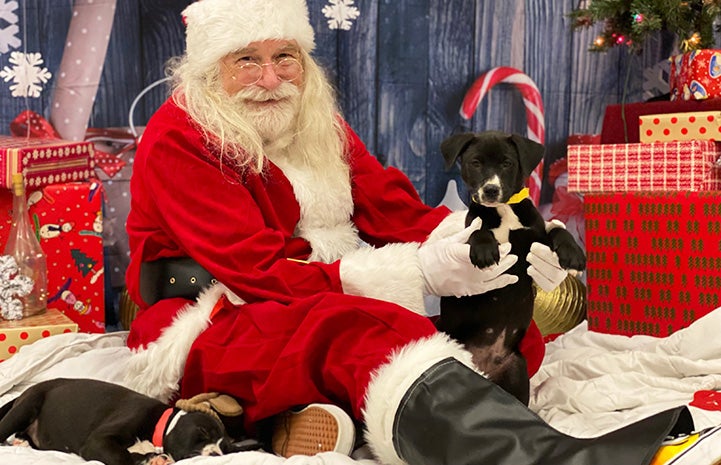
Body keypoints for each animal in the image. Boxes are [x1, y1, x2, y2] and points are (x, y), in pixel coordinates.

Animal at [434, 129, 584, 404]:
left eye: (507, 163)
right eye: (475, 162)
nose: (491, 190)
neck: (503, 210)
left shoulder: (536, 237)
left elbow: (557, 230)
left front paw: (573, 254)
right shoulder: (471, 227)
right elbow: (478, 229)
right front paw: (484, 250)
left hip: (516, 371)